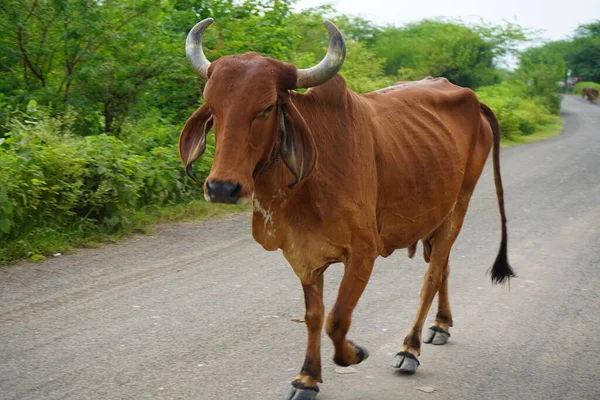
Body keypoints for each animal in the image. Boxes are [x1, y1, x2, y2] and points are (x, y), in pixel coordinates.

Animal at [178, 18, 516, 396]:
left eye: (265, 108)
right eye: (212, 108)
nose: (222, 187)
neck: (307, 185)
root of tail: (473, 97)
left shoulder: (364, 250)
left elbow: (337, 319)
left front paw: (354, 353)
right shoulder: (302, 253)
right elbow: (314, 316)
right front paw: (307, 378)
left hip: (460, 203)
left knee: (431, 275)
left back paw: (409, 348)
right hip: (436, 214)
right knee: (443, 266)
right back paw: (441, 325)